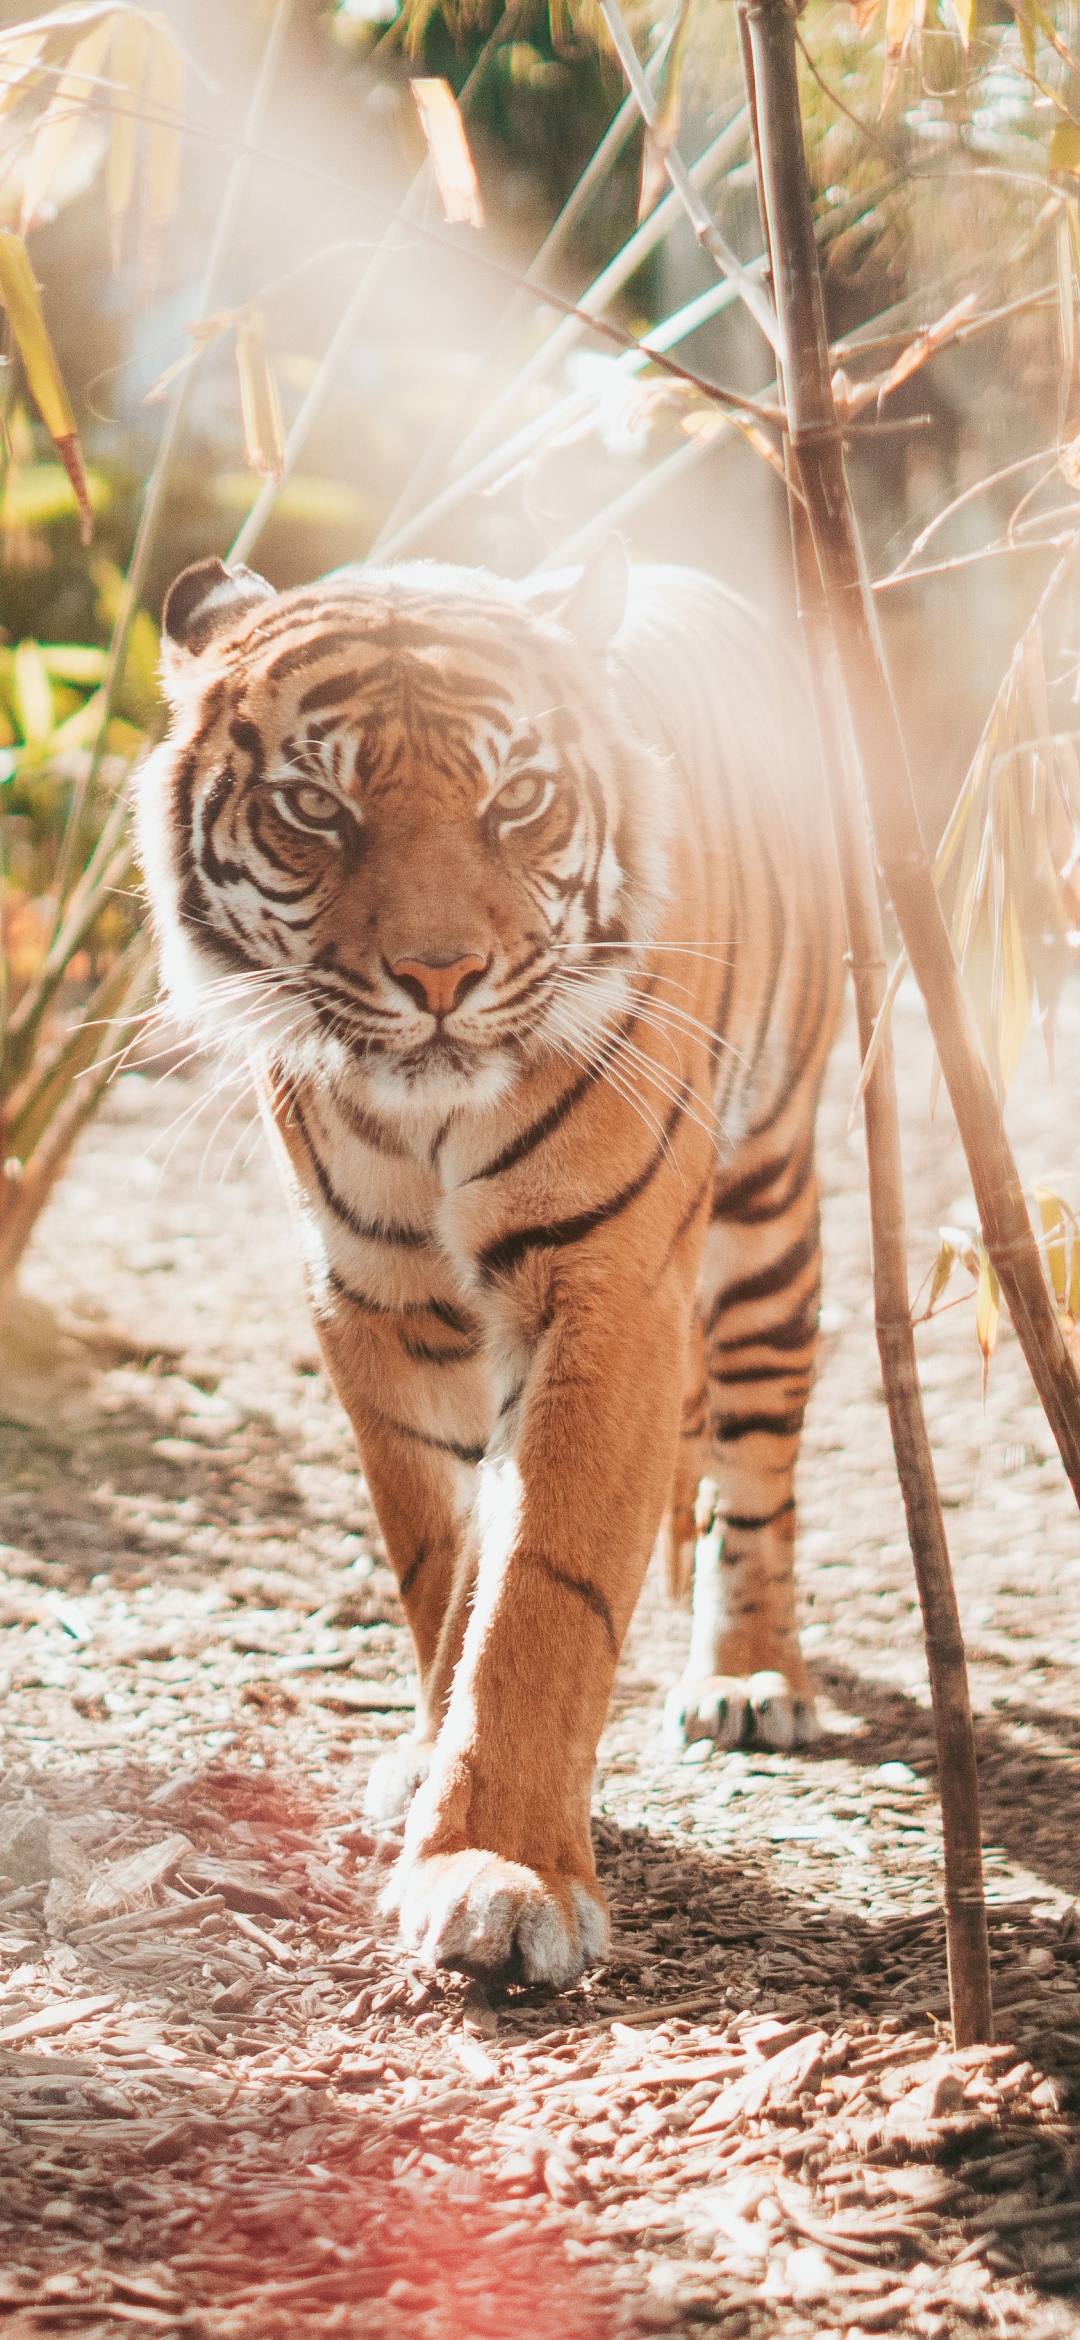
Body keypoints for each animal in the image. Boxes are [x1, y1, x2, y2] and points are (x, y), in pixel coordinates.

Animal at [132, 538, 841, 1984]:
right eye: (315, 806)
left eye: (516, 800)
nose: (440, 976)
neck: (426, 1120)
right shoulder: (372, 1301)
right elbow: (442, 1562)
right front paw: (427, 1763)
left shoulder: (608, 1290)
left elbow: (542, 1593)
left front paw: (501, 1873)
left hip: (767, 1216)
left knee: (757, 1467)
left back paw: (750, 1677)